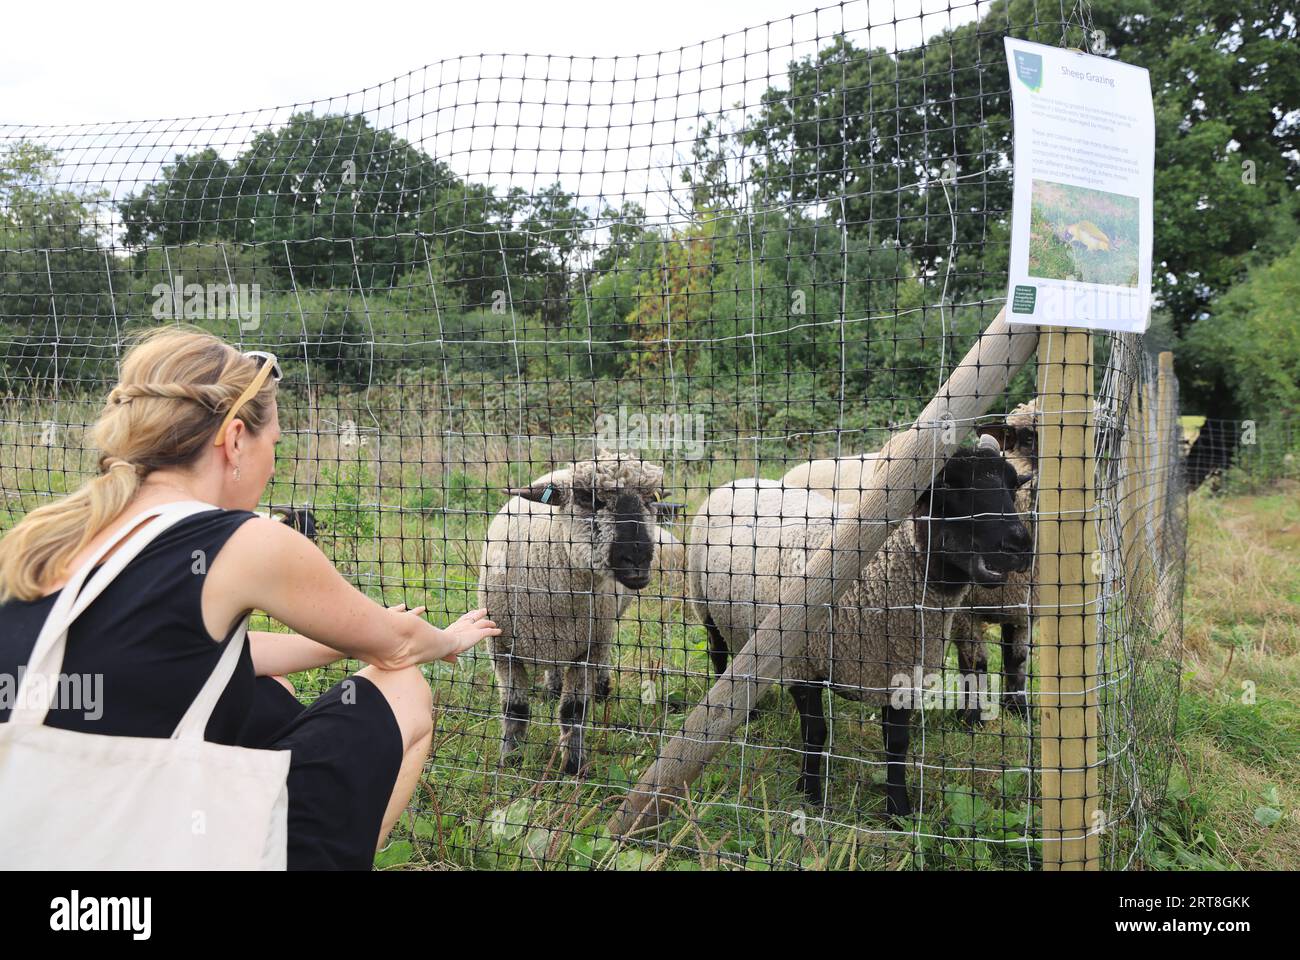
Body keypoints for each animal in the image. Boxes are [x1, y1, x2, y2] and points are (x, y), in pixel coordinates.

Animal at [480, 452, 665, 775]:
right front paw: (510, 761)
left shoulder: (588, 649)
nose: (639, 560)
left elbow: (573, 712)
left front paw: (573, 767)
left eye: (651, 499)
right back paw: (553, 687)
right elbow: (515, 709)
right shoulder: (501, 649)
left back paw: (601, 687)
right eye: (586, 498)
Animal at [686, 442, 1029, 816]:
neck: (876, 571)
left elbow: (897, 742)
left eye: (1013, 487)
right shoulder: (802, 665)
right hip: (705, 604)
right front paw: (809, 795)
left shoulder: (901, 671)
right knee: (719, 654)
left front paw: (898, 810)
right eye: (948, 486)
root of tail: (741, 480)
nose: (1020, 545)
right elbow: (815, 733)